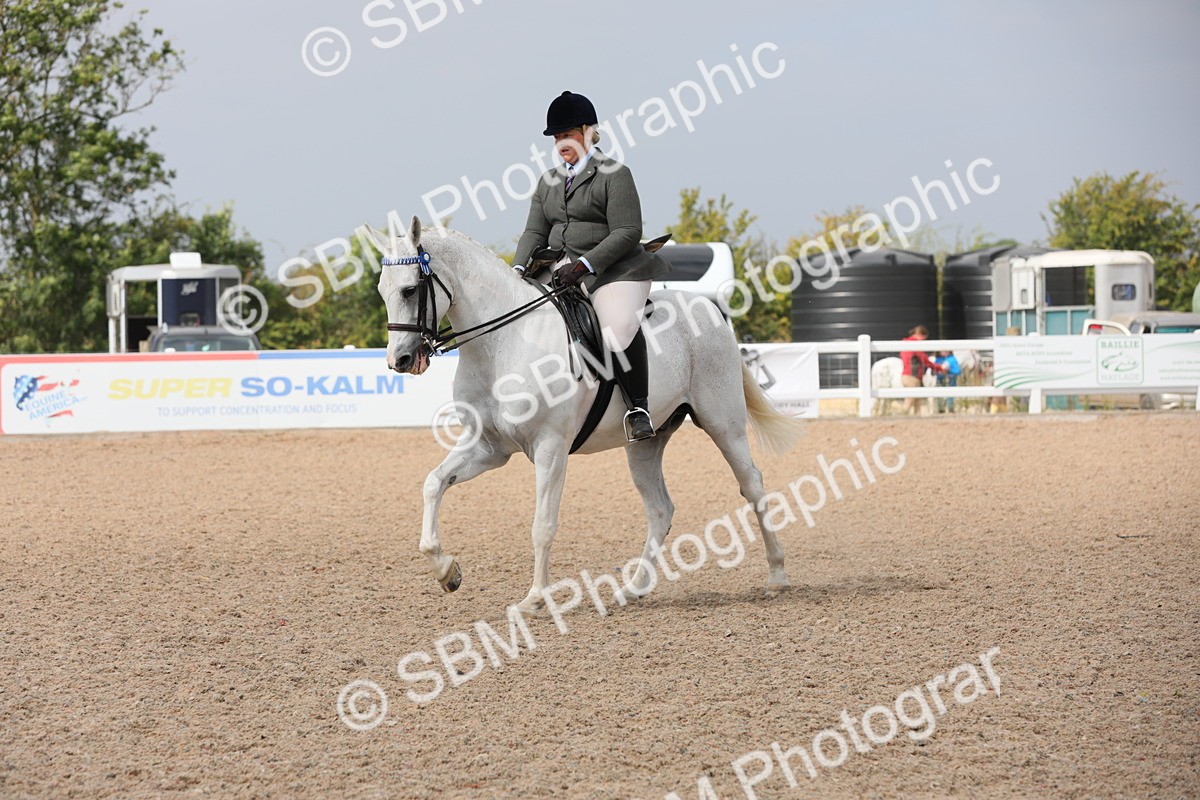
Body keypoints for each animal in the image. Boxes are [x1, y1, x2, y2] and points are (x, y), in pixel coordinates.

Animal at [363, 217, 805, 613]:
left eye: (410, 289)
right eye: (382, 290)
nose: (400, 361)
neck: (502, 346)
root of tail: (708, 311)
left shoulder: (550, 448)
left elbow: (543, 525)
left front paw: (534, 599)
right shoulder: (488, 449)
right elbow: (434, 484)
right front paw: (447, 572)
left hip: (723, 424)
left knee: (752, 485)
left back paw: (777, 576)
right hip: (645, 442)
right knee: (661, 509)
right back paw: (633, 589)